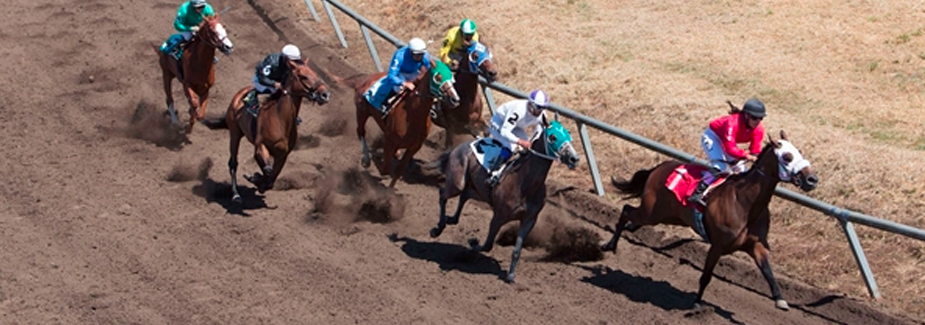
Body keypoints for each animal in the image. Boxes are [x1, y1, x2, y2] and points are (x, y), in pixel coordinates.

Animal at [202, 57, 328, 201]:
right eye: (304, 76)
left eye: (315, 74)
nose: (325, 94)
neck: (280, 120)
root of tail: (239, 94)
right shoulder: (261, 146)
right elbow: (267, 169)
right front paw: (255, 178)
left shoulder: (283, 155)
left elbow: (271, 176)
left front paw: (258, 180)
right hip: (235, 133)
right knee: (233, 163)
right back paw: (235, 194)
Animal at [604, 130, 820, 310]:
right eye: (787, 157)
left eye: (800, 152)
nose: (812, 179)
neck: (746, 204)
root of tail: (660, 166)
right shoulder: (717, 245)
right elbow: (706, 276)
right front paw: (696, 302)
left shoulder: (755, 245)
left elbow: (768, 272)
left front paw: (780, 299)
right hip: (651, 212)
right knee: (626, 210)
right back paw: (610, 245)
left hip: (666, 216)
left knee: (633, 217)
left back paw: (627, 231)